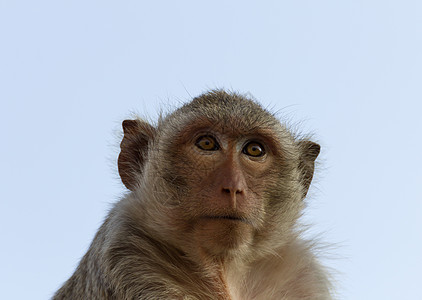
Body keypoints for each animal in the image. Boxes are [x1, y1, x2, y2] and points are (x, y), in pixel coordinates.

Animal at [52, 90, 332, 298]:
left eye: (254, 150)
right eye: (207, 144)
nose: (233, 187)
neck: (224, 271)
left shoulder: (303, 277)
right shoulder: (130, 259)